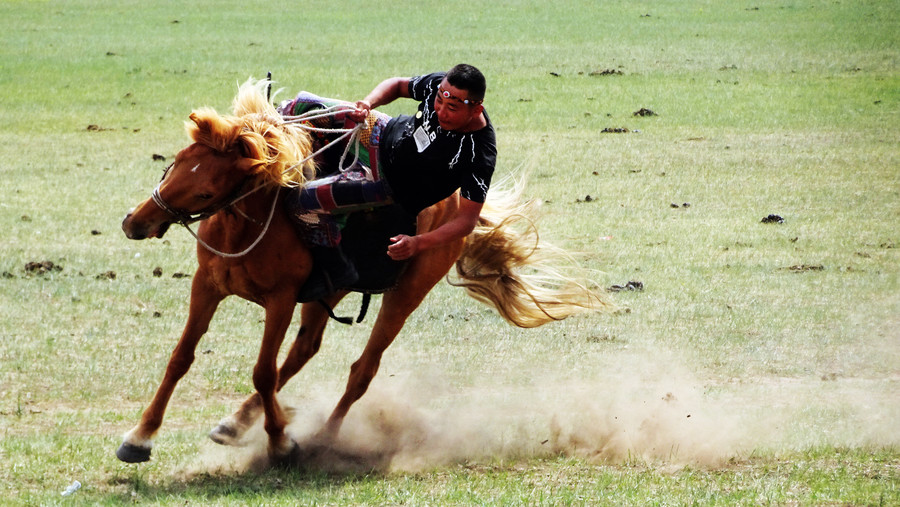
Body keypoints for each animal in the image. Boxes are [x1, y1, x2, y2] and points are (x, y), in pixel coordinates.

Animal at [114, 81, 612, 466]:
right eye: (177, 161)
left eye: (206, 190)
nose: (134, 222)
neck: (251, 225)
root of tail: (456, 204)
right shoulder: (208, 286)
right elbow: (182, 357)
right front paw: (139, 438)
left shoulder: (280, 299)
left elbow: (262, 371)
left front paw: (280, 444)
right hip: (328, 292)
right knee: (303, 351)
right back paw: (236, 424)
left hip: (407, 291)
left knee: (360, 370)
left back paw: (323, 438)